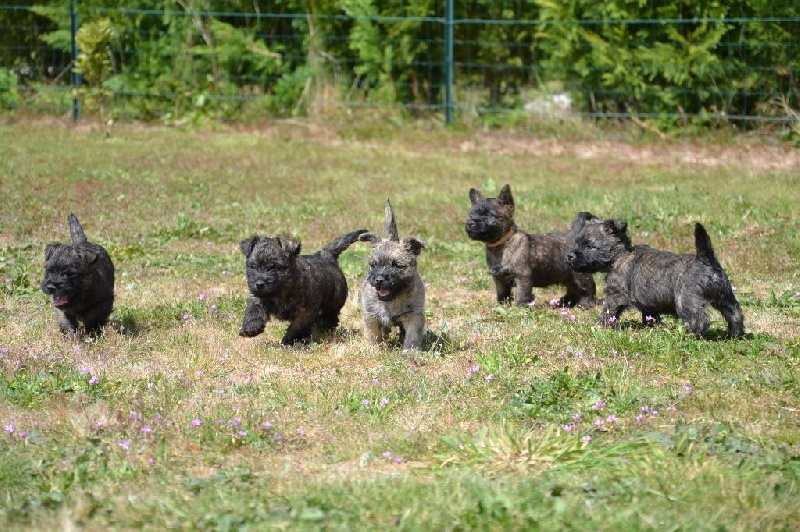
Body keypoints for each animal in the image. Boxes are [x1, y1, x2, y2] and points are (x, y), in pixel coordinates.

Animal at [239, 229, 368, 344]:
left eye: (273, 266)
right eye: (253, 266)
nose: (259, 284)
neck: (281, 291)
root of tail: (326, 255)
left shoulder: (306, 311)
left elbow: (297, 326)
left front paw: (288, 340)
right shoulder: (259, 297)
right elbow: (254, 310)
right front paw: (250, 327)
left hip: (334, 300)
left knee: (330, 316)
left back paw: (323, 326)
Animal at [360, 200, 428, 354]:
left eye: (397, 265)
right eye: (373, 265)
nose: (379, 280)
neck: (391, 301)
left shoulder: (414, 316)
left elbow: (412, 335)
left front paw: (411, 351)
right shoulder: (370, 316)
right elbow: (373, 334)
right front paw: (374, 350)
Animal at [462, 184, 592, 306]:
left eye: (488, 215)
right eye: (471, 215)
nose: (470, 222)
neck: (502, 244)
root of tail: (574, 233)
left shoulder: (522, 277)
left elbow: (521, 295)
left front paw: (520, 308)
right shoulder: (500, 280)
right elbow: (502, 295)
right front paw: (503, 307)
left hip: (580, 275)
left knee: (587, 289)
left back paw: (585, 304)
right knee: (572, 289)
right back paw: (565, 303)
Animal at [564, 219, 748, 336]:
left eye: (589, 246)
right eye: (577, 242)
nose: (569, 256)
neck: (620, 256)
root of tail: (705, 260)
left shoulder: (615, 296)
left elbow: (607, 312)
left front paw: (598, 326)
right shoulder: (648, 304)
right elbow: (649, 316)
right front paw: (651, 327)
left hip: (686, 301)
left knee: (700, 320)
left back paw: (688, 335)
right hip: (725, 297)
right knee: (735, 314)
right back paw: (734, 335)